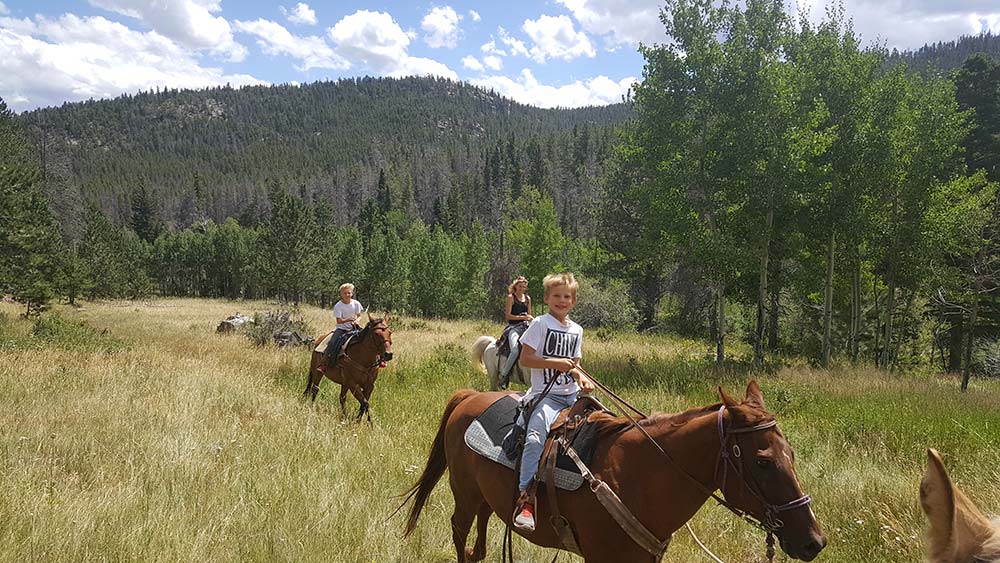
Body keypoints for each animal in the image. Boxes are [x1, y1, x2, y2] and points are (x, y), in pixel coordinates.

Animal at [400, 382, 828, 560]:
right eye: (763, 461)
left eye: (791, 453)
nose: (814, 542)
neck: (640, 476)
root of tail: (470, 397)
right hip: (464, 494)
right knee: (460, 535)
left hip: (487, 499)